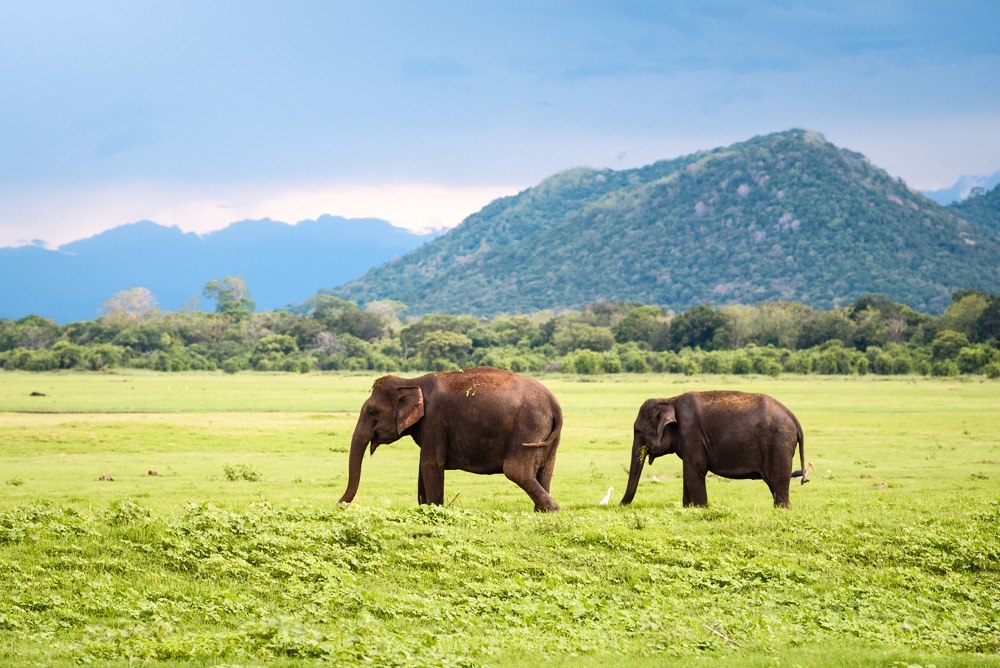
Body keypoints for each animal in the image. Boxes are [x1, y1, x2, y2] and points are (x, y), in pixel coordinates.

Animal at [338, 366, 564, 512]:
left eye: (371, 412)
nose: (339, 506)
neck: (411, 382)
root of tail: (555, 404)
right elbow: (423, 466)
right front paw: (423, 508)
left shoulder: (434, 421)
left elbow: (431, 463)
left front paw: (434, 510)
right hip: (547, 435)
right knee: (546, 469)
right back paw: (541, 512)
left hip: (528, 427)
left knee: (516, 470)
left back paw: (553, 509)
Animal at [620, 388, 808, 508]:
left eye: (638, 430)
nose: (619, 505)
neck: (669, 399)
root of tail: (794, 419)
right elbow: (689, 473)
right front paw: (688, 508)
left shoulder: (691, 434)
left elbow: (695, 471)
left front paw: (701, 509)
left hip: (779, 444)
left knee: (778, 482)